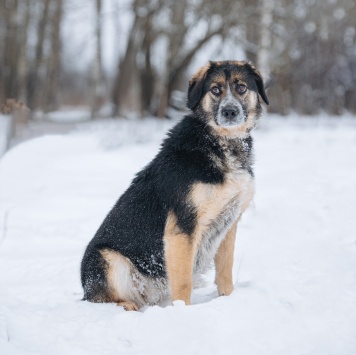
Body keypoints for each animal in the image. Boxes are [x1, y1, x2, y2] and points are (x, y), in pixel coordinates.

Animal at [81, 61, 270, 312]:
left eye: (241, 87)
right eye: (216, 89)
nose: (230, 112)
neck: (220, 143)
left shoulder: (229, 223)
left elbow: (225, 271)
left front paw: (227, 300)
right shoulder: (182, 228)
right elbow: (183, 283)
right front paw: (183, 312)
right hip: (107, 258)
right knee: (106, 299)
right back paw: (128, 306)